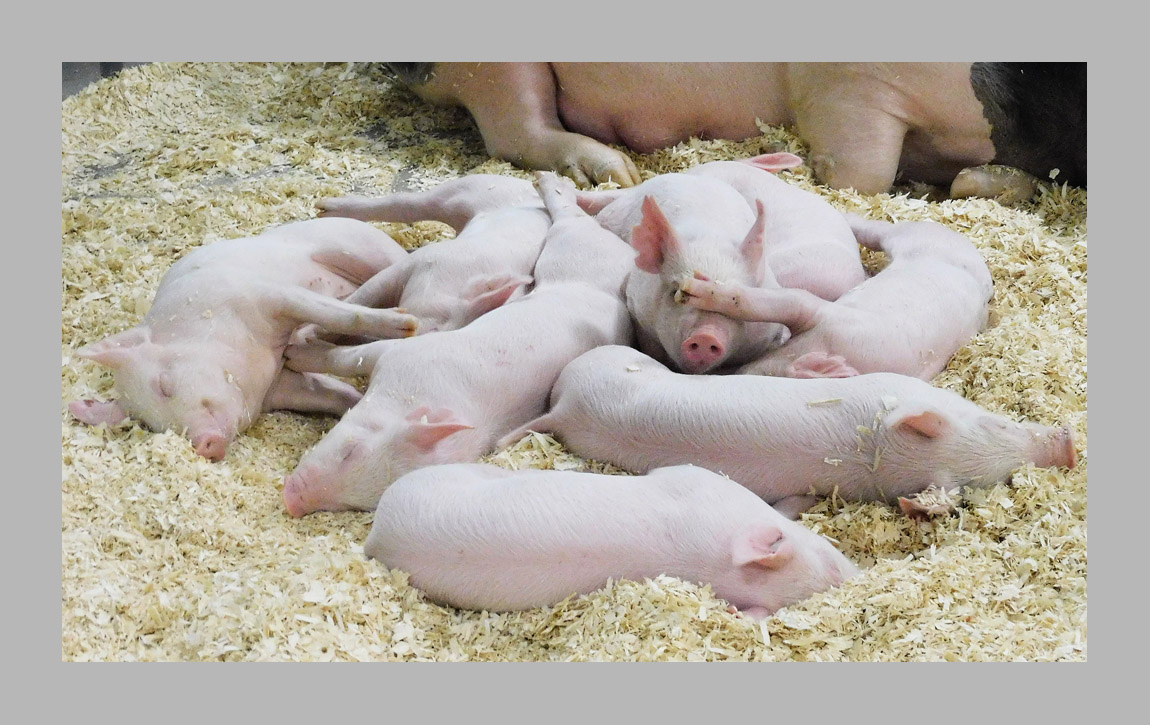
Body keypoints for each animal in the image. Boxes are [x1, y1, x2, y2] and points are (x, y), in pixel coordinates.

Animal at [68, 217, 419, 461]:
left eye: (163, 386)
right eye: (152, 425)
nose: (205, 445)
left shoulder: (267, 295)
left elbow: (336, 313)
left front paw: (408, 325)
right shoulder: (279, 387)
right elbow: (330, 393)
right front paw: (356, 400)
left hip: (357, 246)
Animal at [310, 175, 548, 336]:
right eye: (435, 329)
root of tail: (525, 183)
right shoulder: (424, 259)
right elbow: (365, 295)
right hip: (467, 189)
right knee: (408, 203)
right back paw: (324, 208)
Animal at [497, 345, 1077, 519]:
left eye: (995, 482)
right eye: (996, 420)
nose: (1069, 445)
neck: (867, 444)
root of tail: (562, 406)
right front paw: (833, 369)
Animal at [679, 215, 993, 380]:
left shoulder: (821, 314)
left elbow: (774, 302)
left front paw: (693, 289)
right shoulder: (821, 315)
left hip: (920, 237)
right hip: (912, 236)